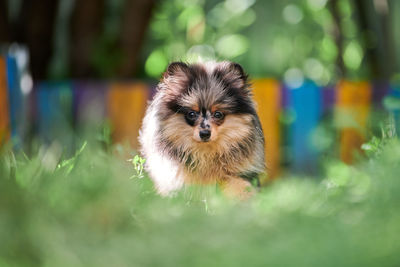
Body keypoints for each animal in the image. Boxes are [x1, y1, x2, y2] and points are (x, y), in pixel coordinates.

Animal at [138, 60, 266, 199]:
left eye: (218, 114)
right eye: (192, 114)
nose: (205, 133)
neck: (206, 153)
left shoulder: (240, 174)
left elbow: (239, 185)